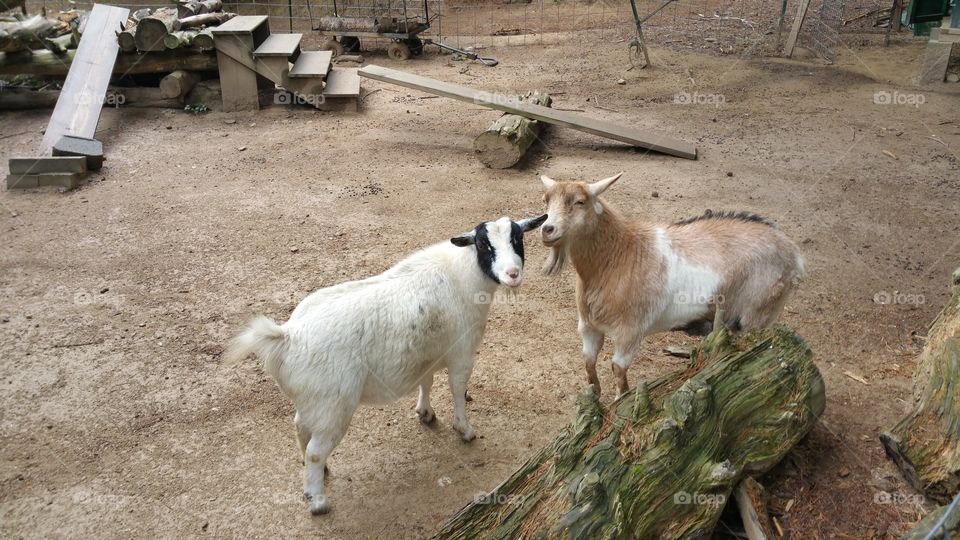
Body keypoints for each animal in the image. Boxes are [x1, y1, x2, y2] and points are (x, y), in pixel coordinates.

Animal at [221, 214, 544, 516]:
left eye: (518, 238)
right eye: (484, 245)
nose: (513, 274)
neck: (462, 276)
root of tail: (287, 335)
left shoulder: (427, 354)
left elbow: (426, 381)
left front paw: (425, 413)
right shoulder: (462, 354)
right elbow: (457, 391)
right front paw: (464, 430)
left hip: (314, 400)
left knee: (301, 427)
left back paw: (320, 472)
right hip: (334, 406)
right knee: (315, 450)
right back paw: (317, 500)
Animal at [540, 173, 804, 396]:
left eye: (580, 202)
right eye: (547, 200)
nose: (547, 229)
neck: (620, 255)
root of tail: (793, 252)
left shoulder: (630, 331)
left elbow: (618, 371)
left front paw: (619, 403)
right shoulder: (588, 327)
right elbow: (588, 362)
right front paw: (594, 396)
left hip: (760, 313)